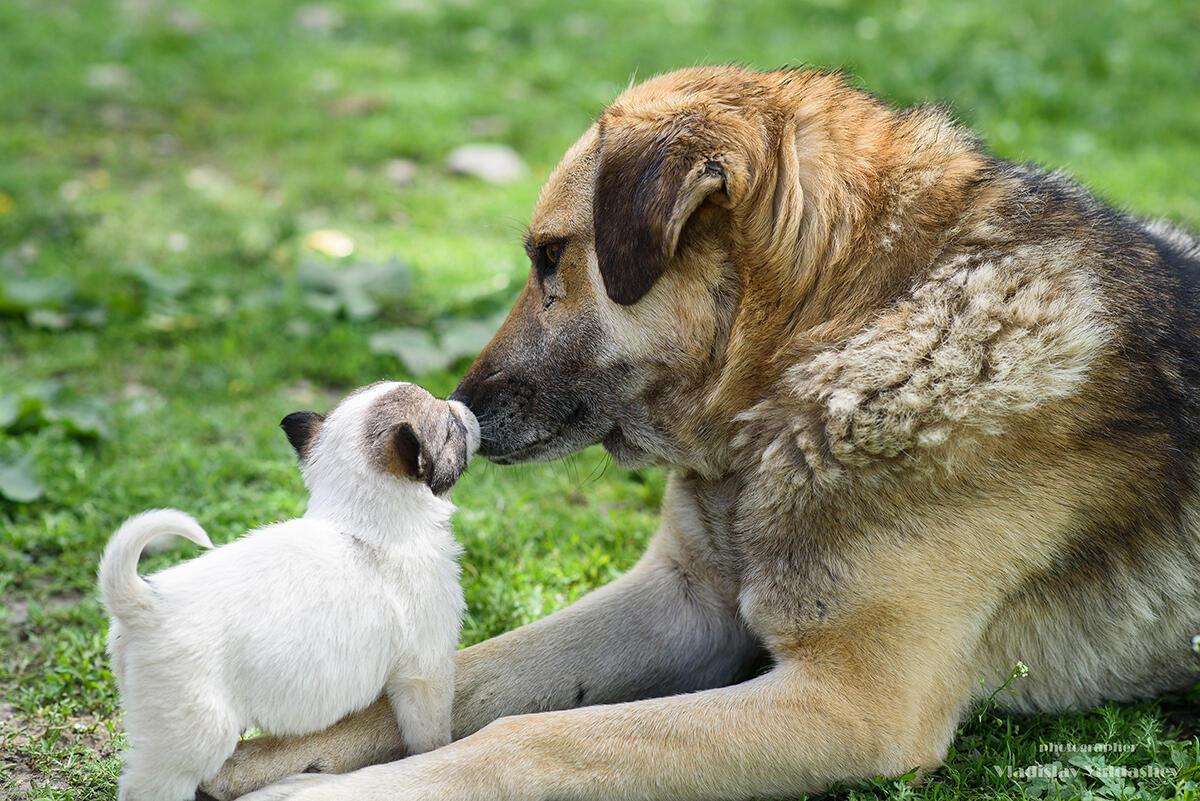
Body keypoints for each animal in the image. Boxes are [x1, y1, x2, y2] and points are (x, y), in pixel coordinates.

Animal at [98, 381, 480, 801]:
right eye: (451, 428)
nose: (466, 406)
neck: (361, 524)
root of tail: (144, 605)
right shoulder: (425, 673)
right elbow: (431, 735)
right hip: (192, 736)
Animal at [211, 67, 1195, 801]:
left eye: (550, 257)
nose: (460, 411)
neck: (838, 333)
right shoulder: (684, 602)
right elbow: (474, 672)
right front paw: (269, 752)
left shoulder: (854, 704)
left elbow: (533, 739)